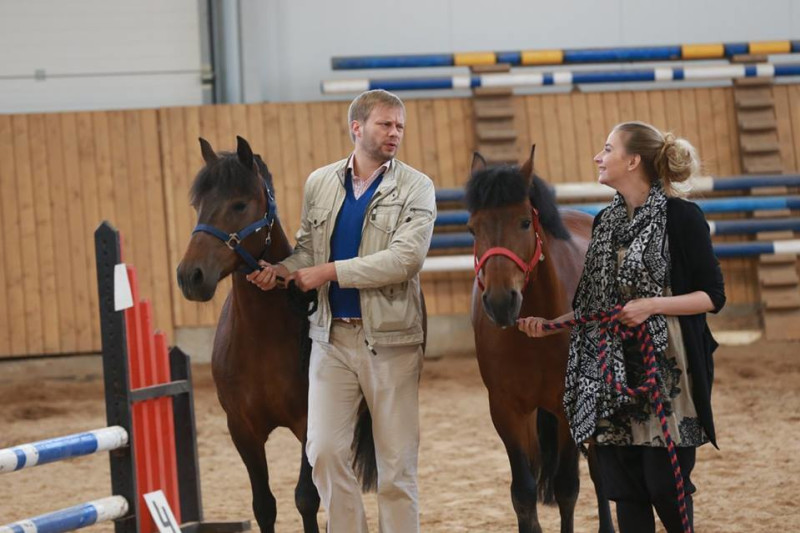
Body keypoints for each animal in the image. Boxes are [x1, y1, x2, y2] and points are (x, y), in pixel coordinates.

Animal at [176, 137, 376, 532]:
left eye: (240, 204)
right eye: (197, 205)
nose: (190, 275)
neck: (262, 339)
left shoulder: (309, 423)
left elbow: (306, 498)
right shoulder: (242, 429)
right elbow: (264, 505)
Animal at [468, 147, 612, 532]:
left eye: (523, 222)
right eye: (472, 228)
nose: (500, 302)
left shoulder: (567, 408)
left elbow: (567, 487)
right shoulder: (506, 410)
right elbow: (523, 492)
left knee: (599, 471)